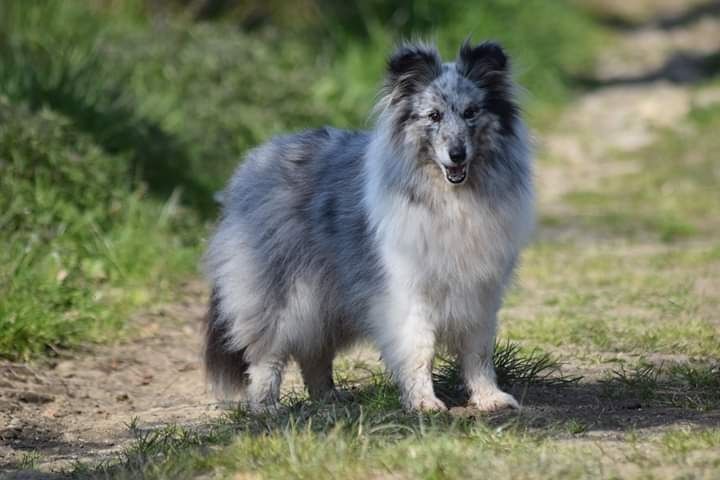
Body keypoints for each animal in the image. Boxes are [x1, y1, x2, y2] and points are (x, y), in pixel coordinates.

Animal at [204, 39, 536, 412]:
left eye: (471, 112)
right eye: (434, 116)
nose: (457, 154)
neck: (452, 200)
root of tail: (254, 163)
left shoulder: (481, 292)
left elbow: (478, 353)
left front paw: (490, 398)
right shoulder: (410, 293)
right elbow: (419, 350)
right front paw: (424, 403)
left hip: (324, 300)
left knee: (314, 352)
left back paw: (328, 398)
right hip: (284, 296)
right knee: (267, 354)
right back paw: (267, 406)